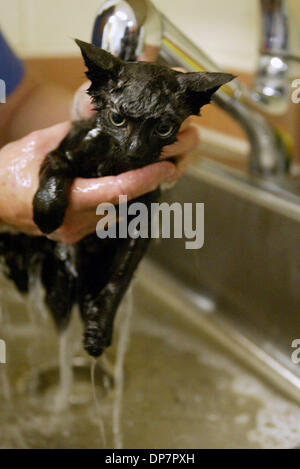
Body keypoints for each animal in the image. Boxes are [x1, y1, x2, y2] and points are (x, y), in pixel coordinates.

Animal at [0, 41, 234, 354]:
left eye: (164, 128)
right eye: (117, 119)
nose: (134, 150)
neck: (114, 164)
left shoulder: (142, 219)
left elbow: (121, 278)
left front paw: (99, 326)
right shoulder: (65, 150)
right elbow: (57, 169)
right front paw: (48, 211)